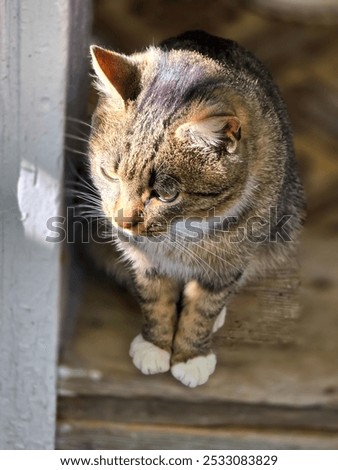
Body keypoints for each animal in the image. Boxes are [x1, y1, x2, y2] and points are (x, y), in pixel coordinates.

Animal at [86, 31, 304, 388]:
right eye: (109, 174)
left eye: (166, 194)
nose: (123, 222)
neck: (182, 230)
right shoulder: (144, 258)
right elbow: (154, 298)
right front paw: (156, 345)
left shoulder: (229, 259)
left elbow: (204, 306)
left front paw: (191, 356)